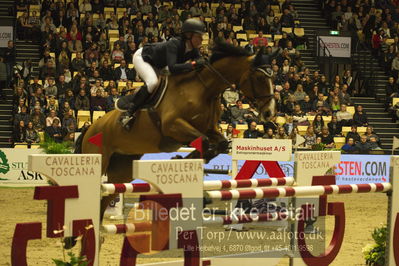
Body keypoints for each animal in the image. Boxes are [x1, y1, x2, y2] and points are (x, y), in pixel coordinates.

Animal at [76, 42, 276, 217]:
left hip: (123, 167)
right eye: (260, 78)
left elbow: (218, 144)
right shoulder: (173, 126)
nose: (269, 113)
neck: (204, 89)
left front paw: (183, 161)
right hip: (100, 157)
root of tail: (91, 128)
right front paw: (179, 159)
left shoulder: (208, 129)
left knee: (106, 196)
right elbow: (204, 142)